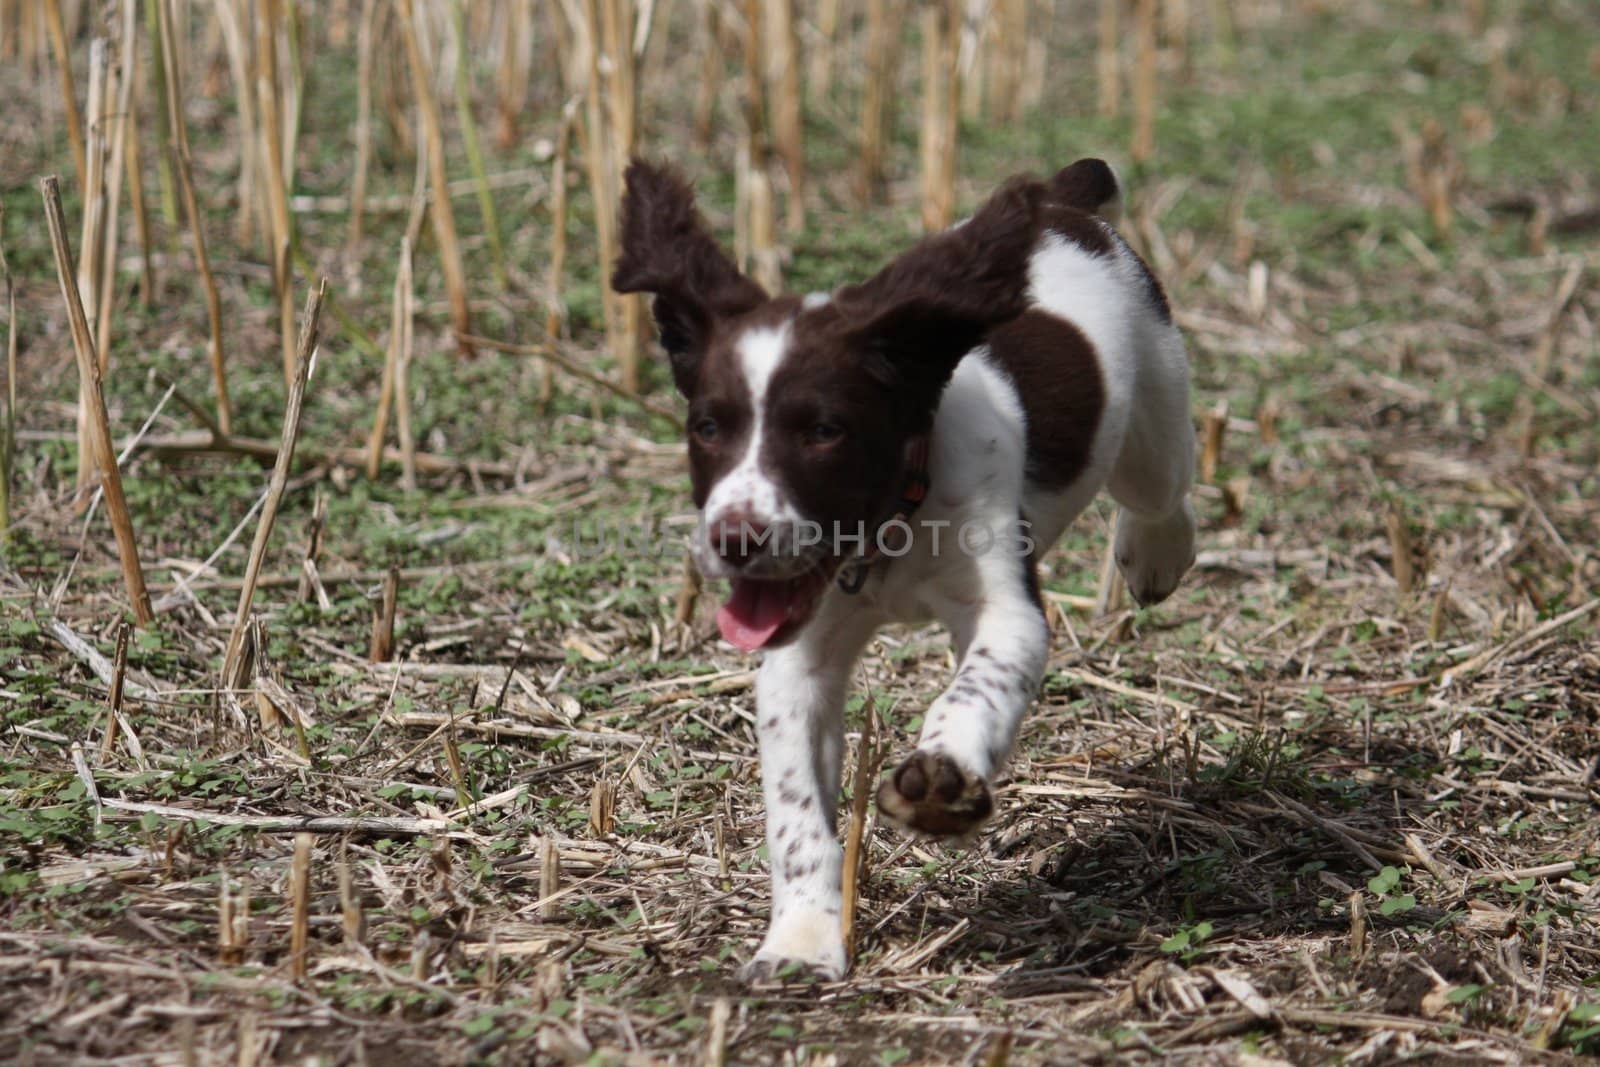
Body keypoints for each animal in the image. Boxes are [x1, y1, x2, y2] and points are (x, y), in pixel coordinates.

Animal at [611, 158, 1203, 985]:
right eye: (707, 426)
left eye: (824, 430)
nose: (735, 539)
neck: (888, 529)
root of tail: (1064, 201)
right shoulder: (799, 655)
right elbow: (796, 810)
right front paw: (802, 937)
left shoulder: (1007, 607)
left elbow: (976, 689)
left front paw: (944, 781)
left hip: (1153, 418)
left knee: (1164, 488)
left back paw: (1153, 556)